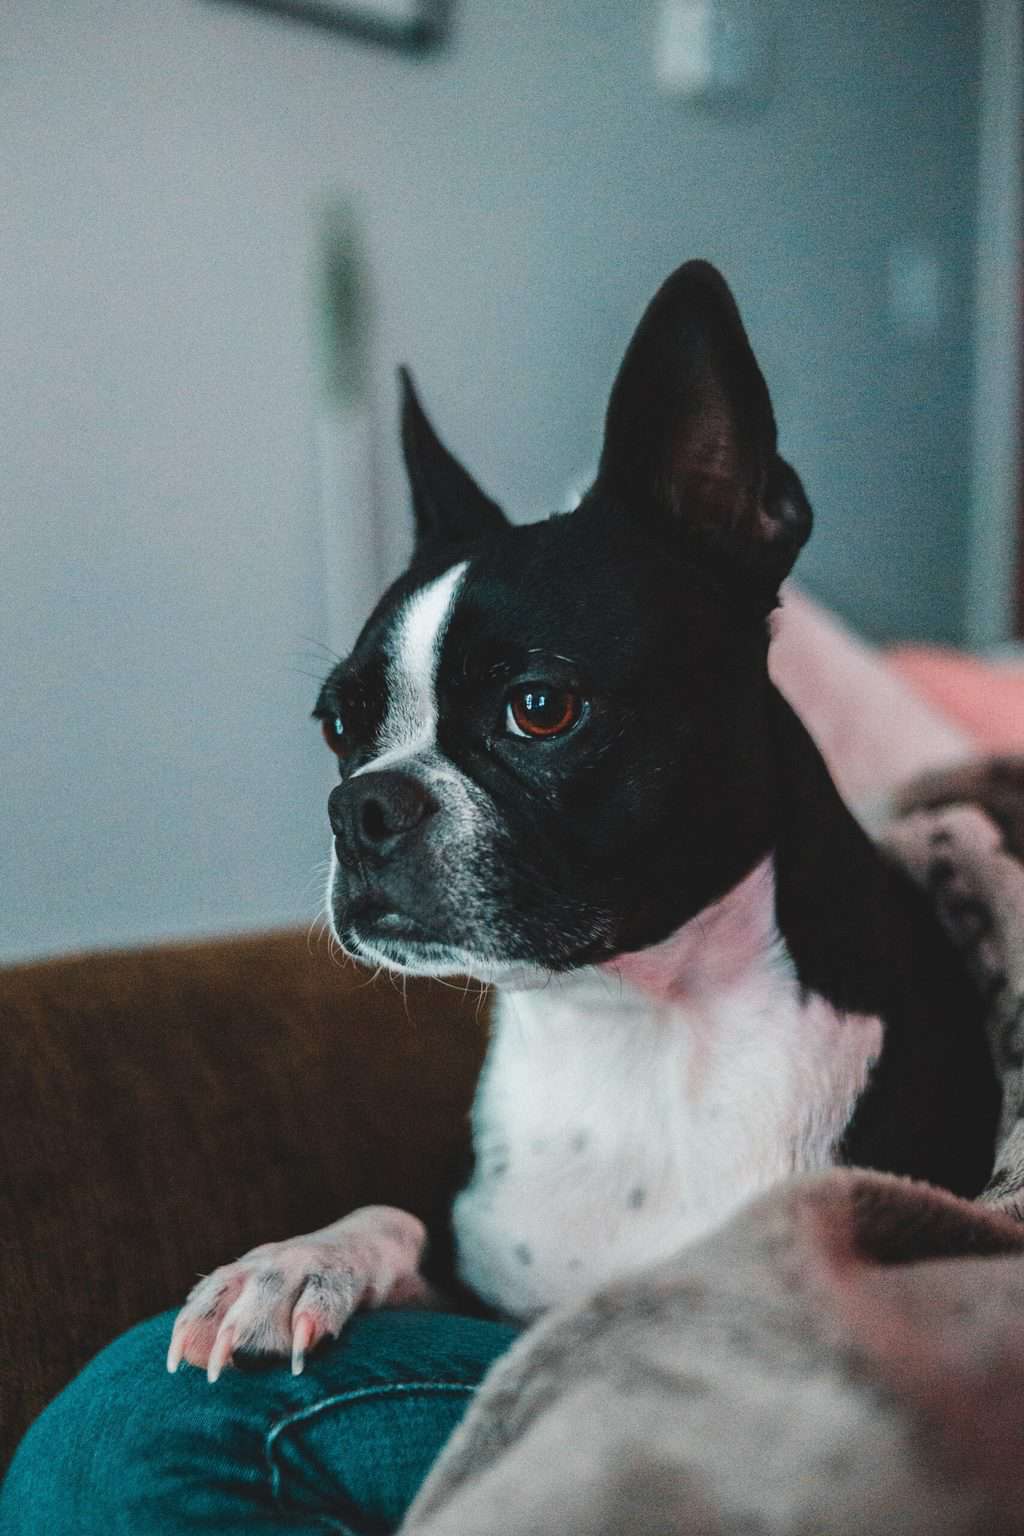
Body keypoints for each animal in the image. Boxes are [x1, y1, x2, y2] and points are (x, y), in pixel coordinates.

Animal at [170, 261, 1000, 1382]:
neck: (631, 1026)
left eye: (540, 707)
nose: (361, 806)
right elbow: (395, 1217)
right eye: (339, 724)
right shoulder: (481, 1285)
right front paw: (293, 1263)